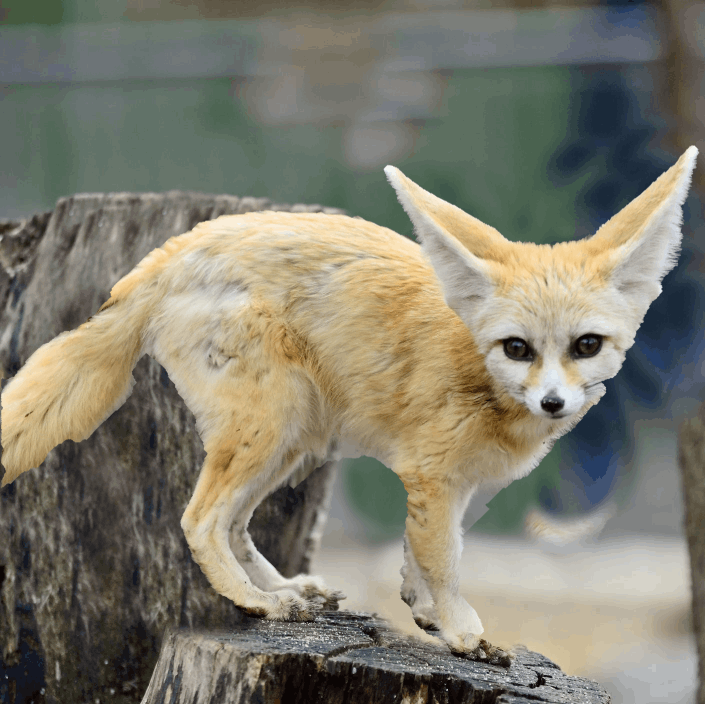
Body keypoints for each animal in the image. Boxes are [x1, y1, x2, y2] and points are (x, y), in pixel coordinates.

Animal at [0, 146, 698, 667]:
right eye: (518, 348)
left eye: (586, 345)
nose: (554, 403)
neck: (477, 363)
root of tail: (169, 253)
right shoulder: (433, 474)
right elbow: (444, 558)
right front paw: (462, 634)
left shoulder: (458, 485)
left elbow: (423, 553)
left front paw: (423, 610)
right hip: (270, 428)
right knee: (198, 520)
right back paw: (259, 604)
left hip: (292, 443)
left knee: (231, 523)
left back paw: (283, 590)